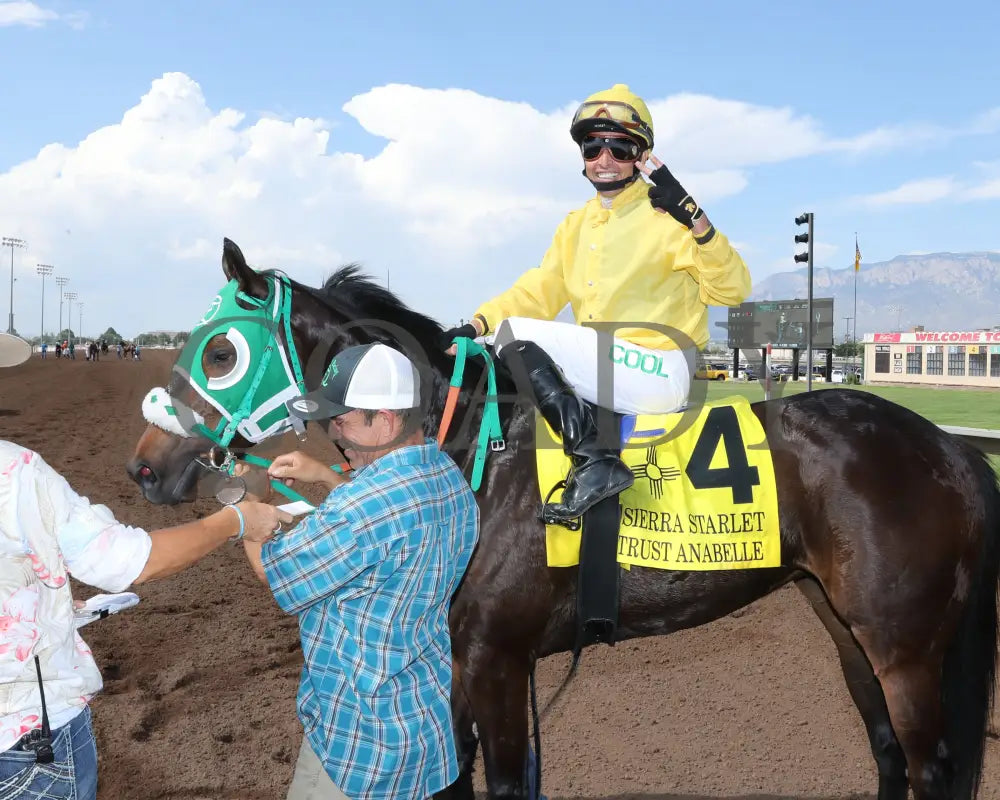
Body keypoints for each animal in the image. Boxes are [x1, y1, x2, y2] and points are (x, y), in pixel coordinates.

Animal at [127, 238, 1000, 800]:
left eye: (221, 353)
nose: (144, 465)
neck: (473, 446)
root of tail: (949, 447)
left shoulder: (497, 658)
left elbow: (509, 783)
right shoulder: (451, 655)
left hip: (905, 647)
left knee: (928, 766)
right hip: (848, 629)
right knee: (888, 755)